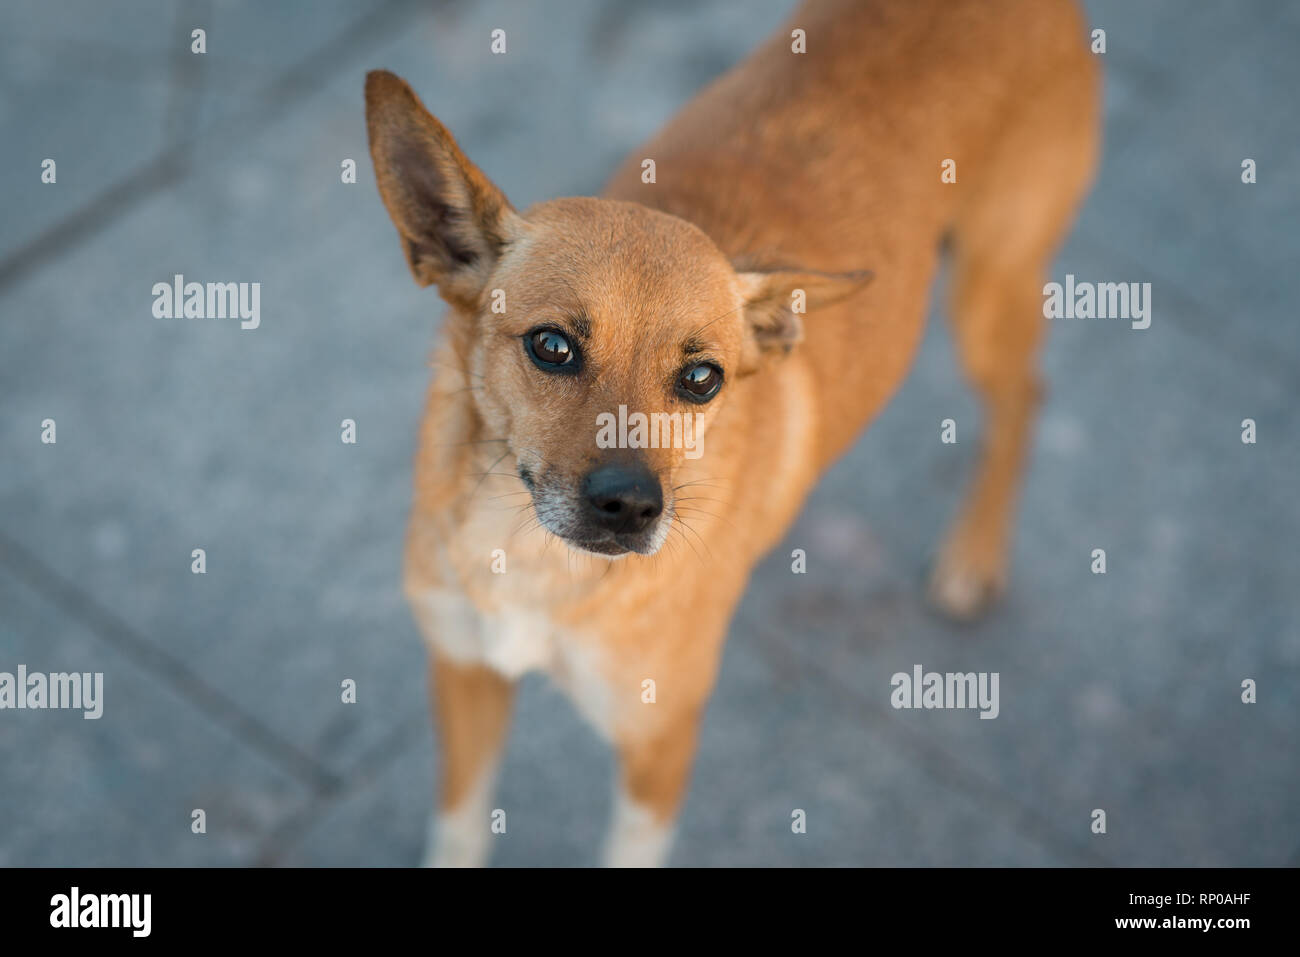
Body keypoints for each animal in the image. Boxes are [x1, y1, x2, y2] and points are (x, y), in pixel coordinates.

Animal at [364, 0, 1097, 868]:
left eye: (702, 379)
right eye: (551, 346)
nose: (631, 508)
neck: (530, 557)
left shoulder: (657, 748)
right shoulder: (464, 674)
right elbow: (460, 830)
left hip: (989, 292)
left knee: (1026, 395)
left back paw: (973, 557)